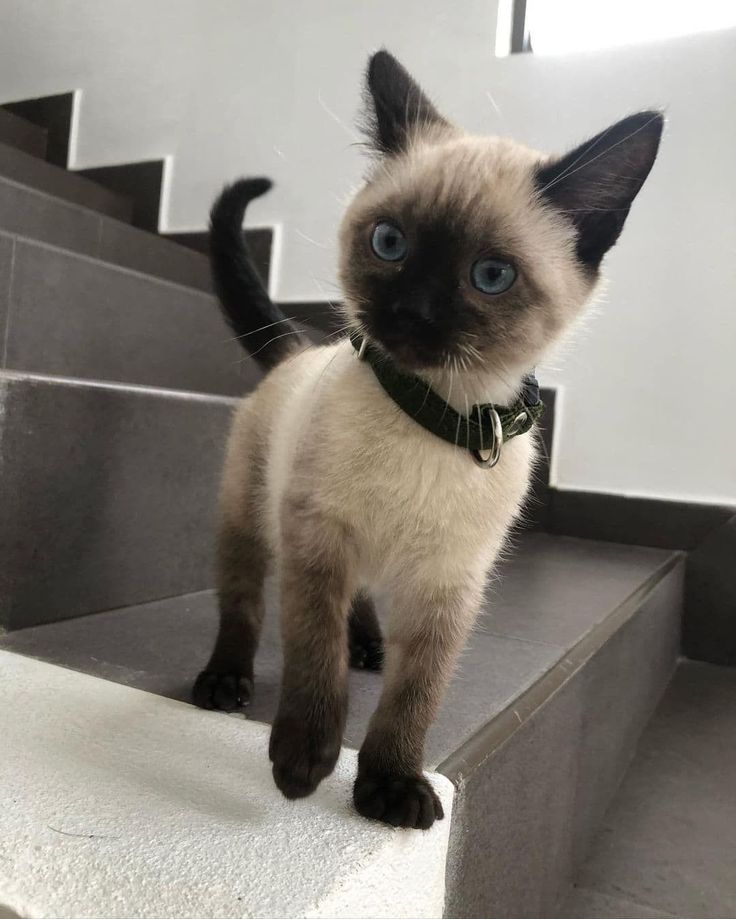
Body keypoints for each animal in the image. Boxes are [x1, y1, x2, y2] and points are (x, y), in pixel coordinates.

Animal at [193, 50, 664, 832]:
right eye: (390, 243)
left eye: (491, 276)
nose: (409, 312)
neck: (436, 416)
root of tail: (299, 349)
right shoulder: (318, 538)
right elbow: (312, 655)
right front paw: (302, 764)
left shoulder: (450, 584)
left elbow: (417, 694)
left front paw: (390, 784)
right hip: (249, 519)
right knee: (245, 602)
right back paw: (225, 680)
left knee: (358, 605)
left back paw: (368, 646)